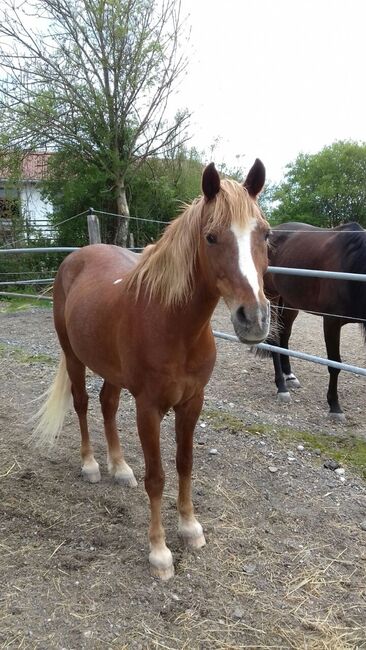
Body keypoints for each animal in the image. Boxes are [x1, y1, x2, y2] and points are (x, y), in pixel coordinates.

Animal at [33, 159, 270, 580]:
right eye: (211, 237)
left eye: (266, 234)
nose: (254, 319)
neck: (173, 323)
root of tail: (76, 257)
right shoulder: (149, 408)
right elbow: (157, 477)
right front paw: (159, 552)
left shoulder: (192, 403)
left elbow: (185, 464)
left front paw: (190, 529)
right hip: (74, 357)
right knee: (82, 404)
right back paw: (91, 465)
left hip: (111, 371)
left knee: (107, 404)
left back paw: (120, 468)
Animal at [264, 220, 364, 418]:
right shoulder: (331, 321)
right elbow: (334, 364)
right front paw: (334, 406)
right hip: (271, 296)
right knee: (274, 339)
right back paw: (281, 387)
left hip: (290, 302)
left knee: (284, 335)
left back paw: (289, 375)